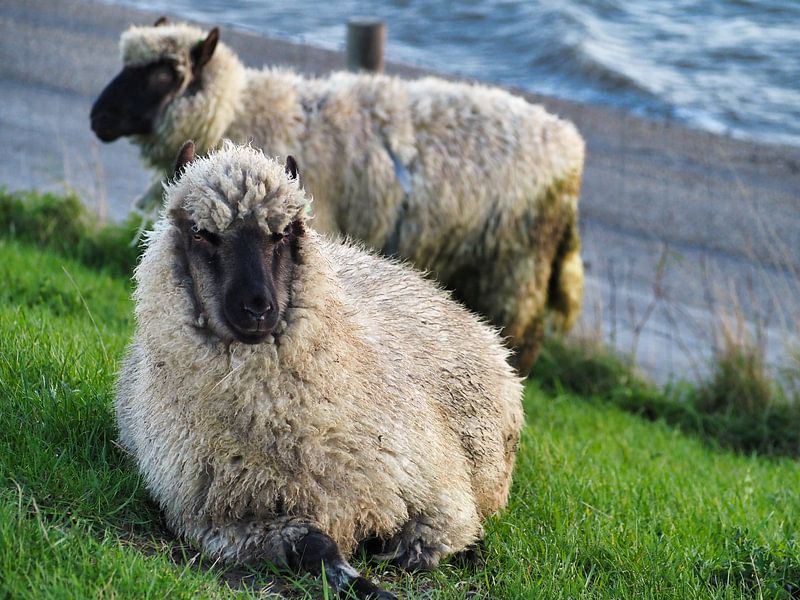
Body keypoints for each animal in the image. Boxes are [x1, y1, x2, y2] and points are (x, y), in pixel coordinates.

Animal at [92, 17, 586, 375]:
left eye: (164, 73)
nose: (98, 118)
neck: (241, 111)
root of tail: (572, 148)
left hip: (519, 264)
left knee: (522, 334)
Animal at [115, 140, 524, 598]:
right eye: (200, 232)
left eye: (286, 232)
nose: (257, 308)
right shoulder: (228, 524)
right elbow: (318, 550)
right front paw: (369, 586)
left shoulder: (436, 494)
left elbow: (425, 540)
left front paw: (455, 551)